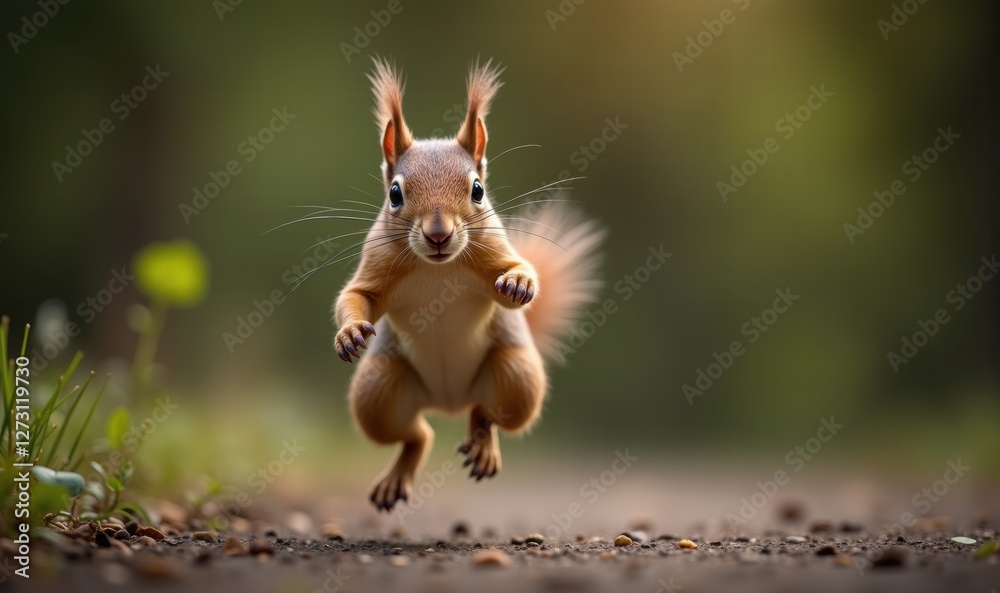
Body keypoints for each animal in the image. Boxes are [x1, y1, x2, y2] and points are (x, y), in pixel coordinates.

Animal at [333, 58, 604, 511]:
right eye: (394, 194)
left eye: (477, 190)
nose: (439, 235)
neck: (438, 268)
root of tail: (448, 402)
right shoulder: (378, 263)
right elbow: (357, 295)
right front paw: (350, 332)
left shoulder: (492, 251)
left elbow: (515, 276)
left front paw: (518, 282)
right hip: (377, 390)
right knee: (416, 435)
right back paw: (400, 473)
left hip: (516, 375)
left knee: (486, 415)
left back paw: (482, 446)